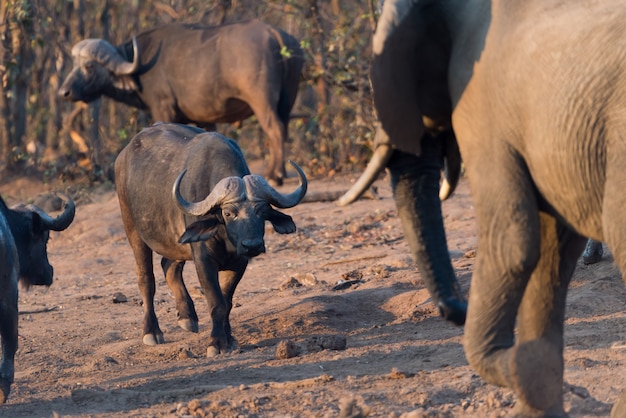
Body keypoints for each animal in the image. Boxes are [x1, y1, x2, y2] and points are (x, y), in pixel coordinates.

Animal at [59, 19, 304, 186]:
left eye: (89, 66)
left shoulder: (163, 109)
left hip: (262, 102)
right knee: (283, 129)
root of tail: (273, 32)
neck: (140, 64)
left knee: (275, 129)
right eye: (74, 64)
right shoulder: (204, 120)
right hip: (286, 102)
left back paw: (275, 175)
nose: (64, 92)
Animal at [114, 121, 308, 356]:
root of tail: (122, 156)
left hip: (175, 241)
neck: (226, 238)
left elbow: (227, 301)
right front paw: (215, 343)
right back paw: (152, 331)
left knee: (169, 267)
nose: (252, 245)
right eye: (228, 213)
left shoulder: (239, 262)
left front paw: (229, 339)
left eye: (262, 211)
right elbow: (216, 303)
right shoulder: (204, 260)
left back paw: (188, 317)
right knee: (146, 279)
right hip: (133, 230)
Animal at [338, 0, 624, 418]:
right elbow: (552, 251)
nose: (457, 309)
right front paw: (533, 392)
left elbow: (513, 245)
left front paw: (520, 370)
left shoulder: (480, 106)